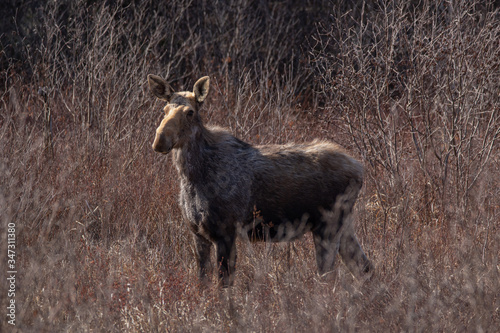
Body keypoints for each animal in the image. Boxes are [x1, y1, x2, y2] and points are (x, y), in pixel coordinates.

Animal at [146, 74, 374, 286]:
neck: (192, 177)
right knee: (365, 268)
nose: (160, 140)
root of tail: (359, 169)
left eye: (190, 112)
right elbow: (202, 283)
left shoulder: (225, 231)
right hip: (344, 225)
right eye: (164, 110)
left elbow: (224, 285)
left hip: (328, 225)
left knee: (330, 276)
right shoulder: (198, 233)